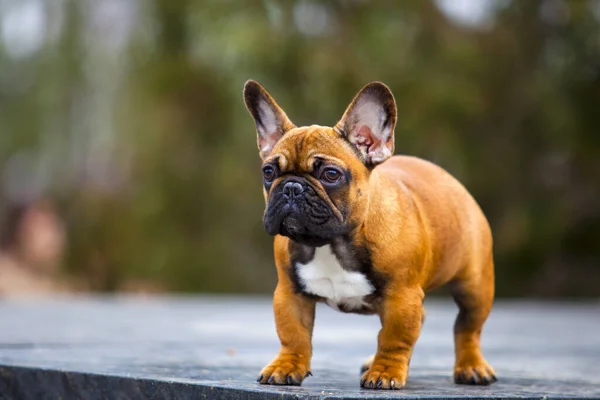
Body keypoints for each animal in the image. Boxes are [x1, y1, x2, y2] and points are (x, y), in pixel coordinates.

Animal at [241, 79, 494, 390]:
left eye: (330, 174)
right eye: (268, 171)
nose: (291, 188)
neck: (332, 242)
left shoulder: (402, 297)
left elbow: (394, 338)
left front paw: (385, 372)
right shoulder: (290, 294)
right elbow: (293, 335)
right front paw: (286, 366)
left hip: (474, 285)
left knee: (468, 328)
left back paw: (471, 367)